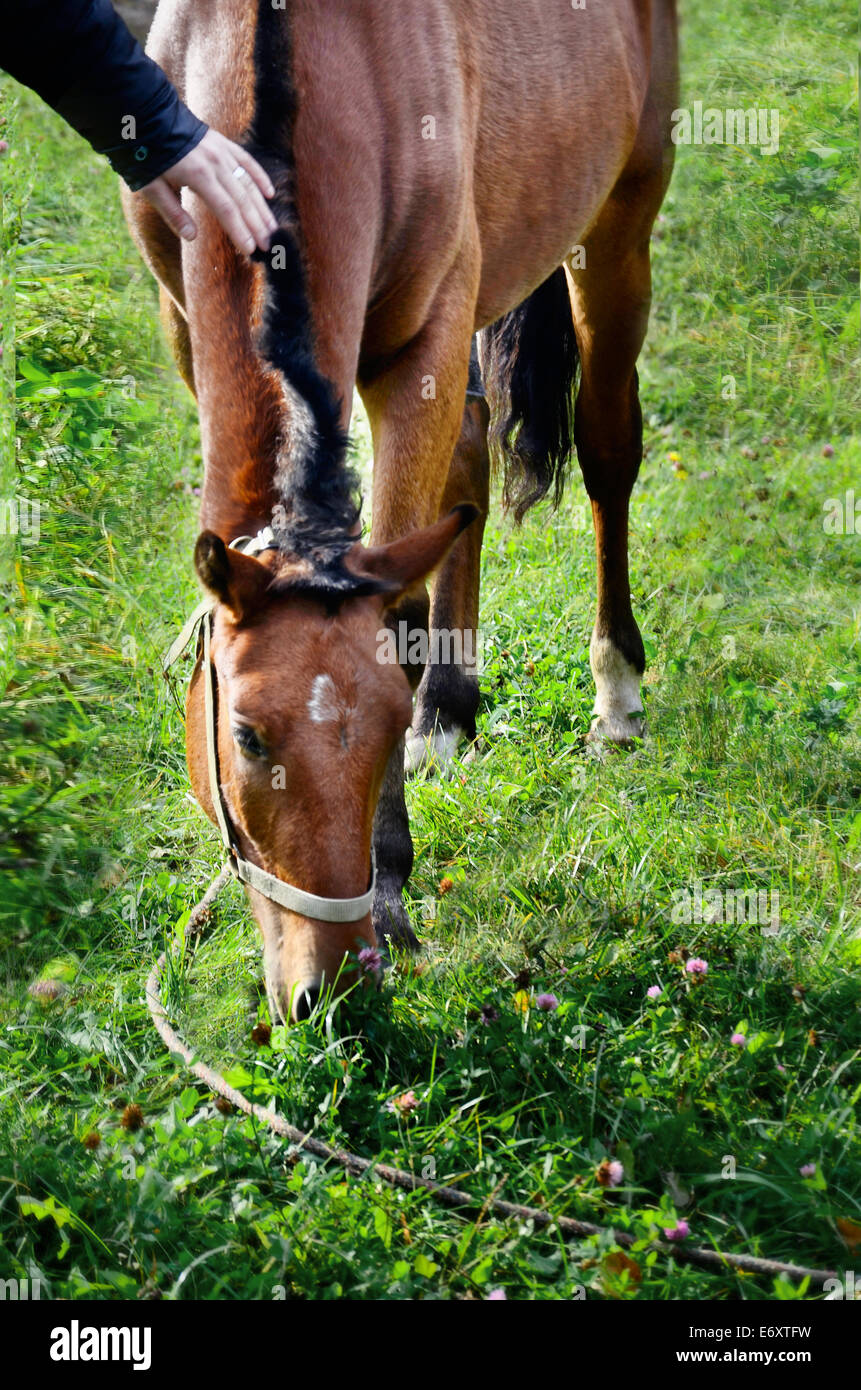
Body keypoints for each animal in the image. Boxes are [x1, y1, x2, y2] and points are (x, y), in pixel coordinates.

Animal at [126, 0, 681, 1023]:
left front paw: (388, 890)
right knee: (467, 459)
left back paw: (614, 692)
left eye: (377, 723)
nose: (330, 985)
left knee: (606, 449)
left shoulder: (420, 339)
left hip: (619, 217)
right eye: (246, 736)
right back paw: (453, 712)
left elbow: (401, 610)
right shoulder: (181, 322)